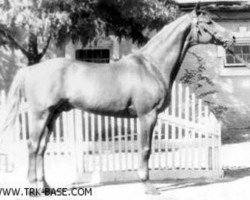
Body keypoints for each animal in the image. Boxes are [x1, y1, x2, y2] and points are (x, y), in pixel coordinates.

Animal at [0, 6, 234, 195]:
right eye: (209, 22)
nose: (232, 38)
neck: (151, 66)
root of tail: (31, 69)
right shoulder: (147, 115)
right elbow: (145, 149)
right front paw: (148, 186)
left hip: (53, 115)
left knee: (41, 148)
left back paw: (46, 186)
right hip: (40, 115)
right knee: (32, 146)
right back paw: (34, 187)